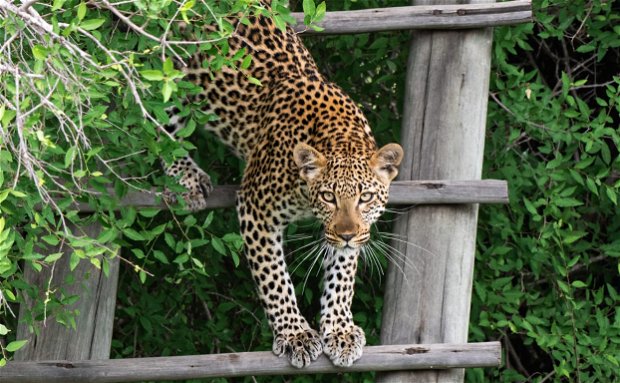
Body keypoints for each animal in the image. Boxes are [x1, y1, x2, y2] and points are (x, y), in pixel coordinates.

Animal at [165, 2, 404, 368]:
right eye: (328, 196)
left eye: (365, 197)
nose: (348, 235)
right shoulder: (256, 208)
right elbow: (274, 278)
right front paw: (295, 335)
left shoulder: (348, 232)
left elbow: (342, 276)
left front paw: (340, 330)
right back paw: (187, 176)